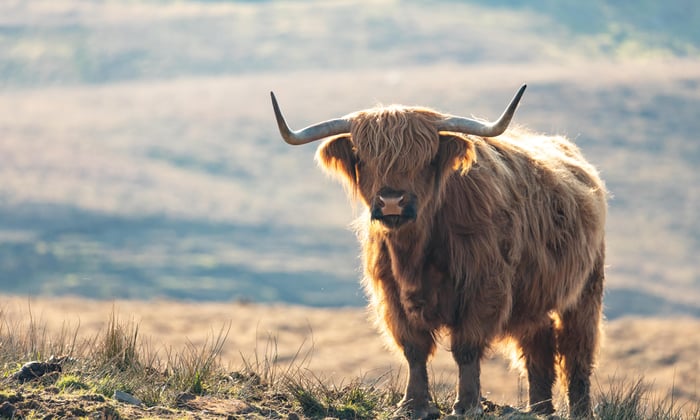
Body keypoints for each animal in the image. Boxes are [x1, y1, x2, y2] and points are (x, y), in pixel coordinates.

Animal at [270, 85, 606, 419]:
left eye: (425, 159)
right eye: (363, 158)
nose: (392, 201)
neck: (415, 252)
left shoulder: (484, 288)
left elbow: (466, 347)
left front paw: (468, 404)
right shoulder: (391, 294)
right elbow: (414, 349)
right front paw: (414, 404)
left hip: (586, 290)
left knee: (577, 351)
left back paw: (579, 411)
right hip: (533, 299)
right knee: (538, 346)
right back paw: (539, 410)